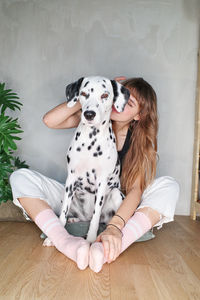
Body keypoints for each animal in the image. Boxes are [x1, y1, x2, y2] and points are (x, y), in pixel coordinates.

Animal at [45, 75, 130, 246]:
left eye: (105, 95)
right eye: (83, 93)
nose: (89, 114)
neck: (92, 140)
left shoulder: (102, 182)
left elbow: (96, 218)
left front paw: (90, 240)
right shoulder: (71, 179)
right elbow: (62, 214)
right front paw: (54, 237)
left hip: (116, 194)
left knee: (101, 219)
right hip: (68, 194)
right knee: (78, 216)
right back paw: (74, 219)